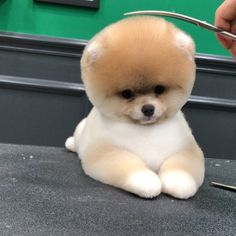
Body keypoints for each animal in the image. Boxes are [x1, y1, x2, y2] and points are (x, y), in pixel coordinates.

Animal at [66, 15, 205, 198]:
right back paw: (70, 144)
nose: (148, 109)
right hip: (80, 131)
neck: (146, 129)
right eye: (127, 94)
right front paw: (146, 182)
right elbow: (130, 168)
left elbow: (182, 167)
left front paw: (180, 183)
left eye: (159, 89)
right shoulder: (106, 152)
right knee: (76, 141)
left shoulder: (185, 149)